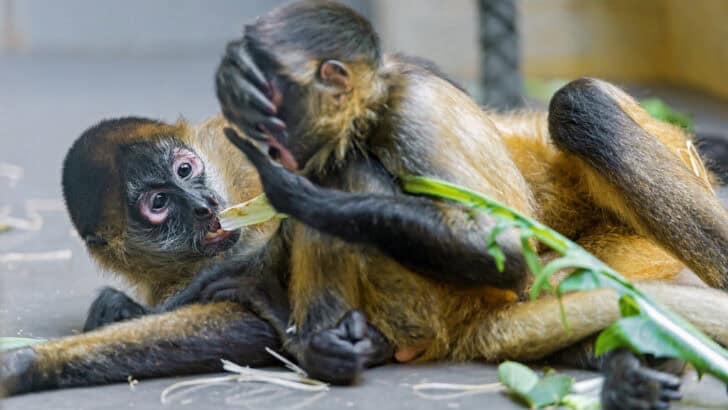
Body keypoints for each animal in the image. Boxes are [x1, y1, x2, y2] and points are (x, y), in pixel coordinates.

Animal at [190, 2, 728, 408]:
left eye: (267, 115)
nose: (267, 145)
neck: (381, 100)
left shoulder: (413, 112)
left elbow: (504, 250)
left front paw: (298, 194)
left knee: (577, 106)